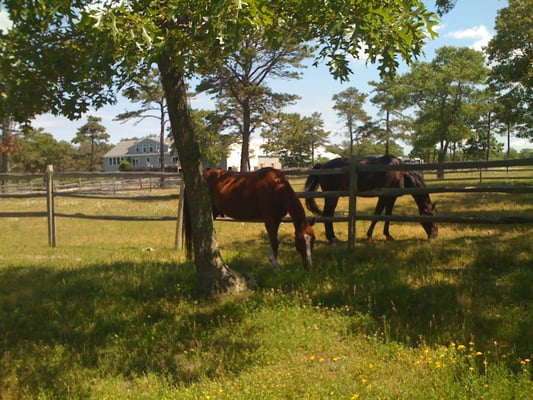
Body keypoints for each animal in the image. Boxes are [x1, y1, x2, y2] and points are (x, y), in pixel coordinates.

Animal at [185, 167, 314, 270]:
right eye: (300, 240)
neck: (277, 188)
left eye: (313, 240)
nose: (309, 266)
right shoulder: (269, 220)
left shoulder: (277, 219)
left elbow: (274, 240)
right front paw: (276, 266)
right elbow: (274, 241)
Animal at [304, 155, 436, 244]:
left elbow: (387, 215)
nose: (435, 235)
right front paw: (370, 236)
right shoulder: (384, 197)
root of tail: (323, 165)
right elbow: (377, 215)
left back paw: (333, 237)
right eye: (431, 217)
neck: (400, 173)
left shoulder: (391, 198)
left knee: (329, 214)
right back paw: (332, 239)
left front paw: (387, 236)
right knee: (327, 214)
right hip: (332, 196)